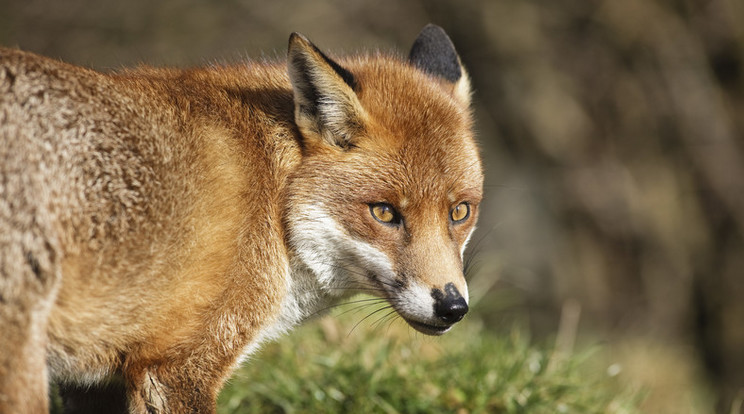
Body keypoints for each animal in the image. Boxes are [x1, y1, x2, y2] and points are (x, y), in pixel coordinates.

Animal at [0, 25, 482, 414]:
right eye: (384, 212)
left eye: (460, 211)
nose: (452, 307)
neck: (275, 202)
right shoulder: (177, 368)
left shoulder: (94, 383)